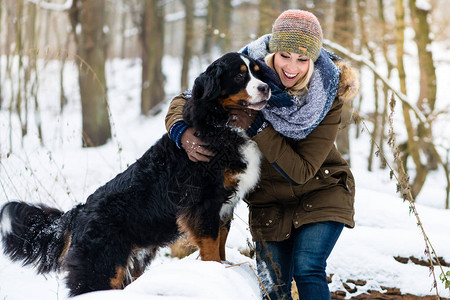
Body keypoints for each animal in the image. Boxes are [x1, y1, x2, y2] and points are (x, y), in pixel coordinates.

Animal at [0, 52, 270, 296]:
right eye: (239, 75)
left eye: (258, 72)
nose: (266, 87)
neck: (221, 123)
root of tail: (78, 213)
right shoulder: (203, 204)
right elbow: (212, 246)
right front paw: (215, 272)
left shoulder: (224, 205)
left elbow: (221, 242)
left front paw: (226, 267)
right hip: (103, 264)